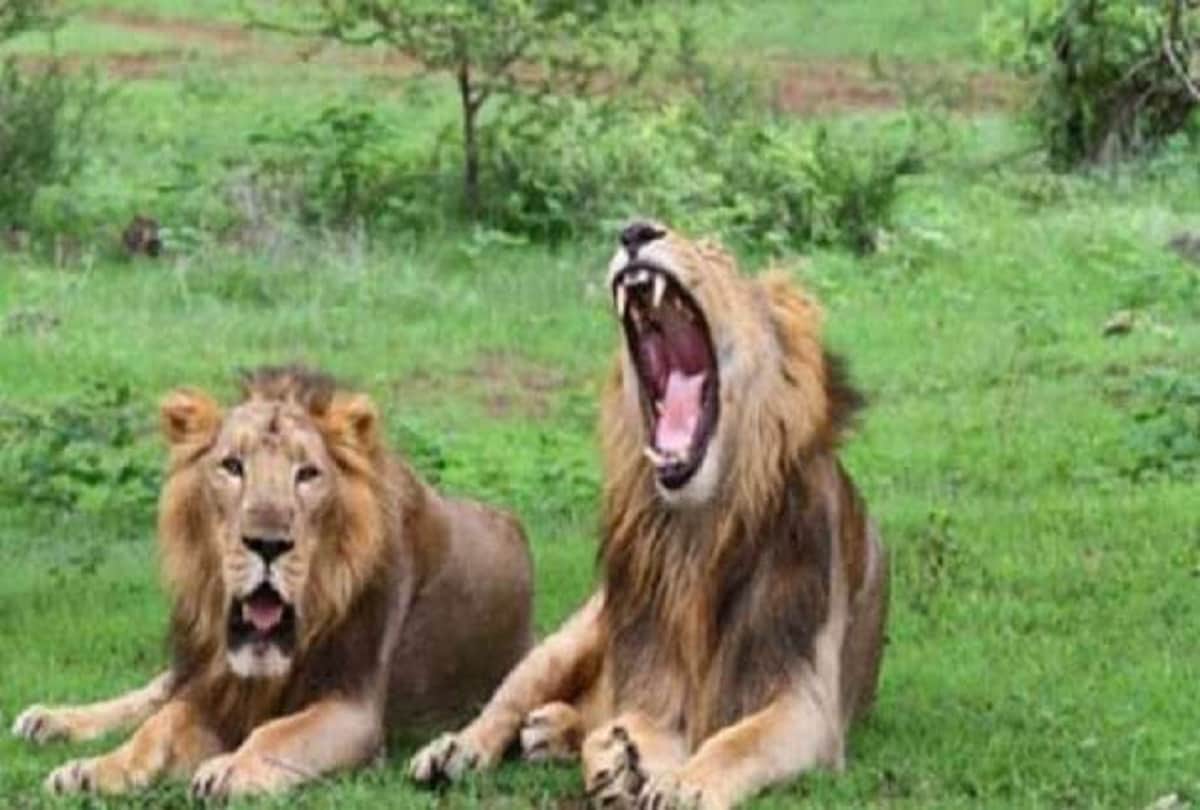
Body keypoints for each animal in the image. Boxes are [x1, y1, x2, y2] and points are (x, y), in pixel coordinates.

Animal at [12, 366, 534, 798]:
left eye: (307, 474)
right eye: (231, 466)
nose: (267, 543)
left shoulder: (354, 708)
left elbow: (278, 733)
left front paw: (229, 768)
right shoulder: (214, 686)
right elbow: (159, 726)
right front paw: (93, 770)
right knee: (158, 691)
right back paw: (48, 720)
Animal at [409, 223, 889, 810]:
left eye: (717, 253)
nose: (635, 231)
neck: (698, 534)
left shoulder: (807, 703)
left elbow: (738, 742)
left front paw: (681, 783)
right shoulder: (652, 681)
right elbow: (636, 721)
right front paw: (630, 761)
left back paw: (555, 732)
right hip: (571, 637)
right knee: (508, 703)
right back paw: (461, 748)